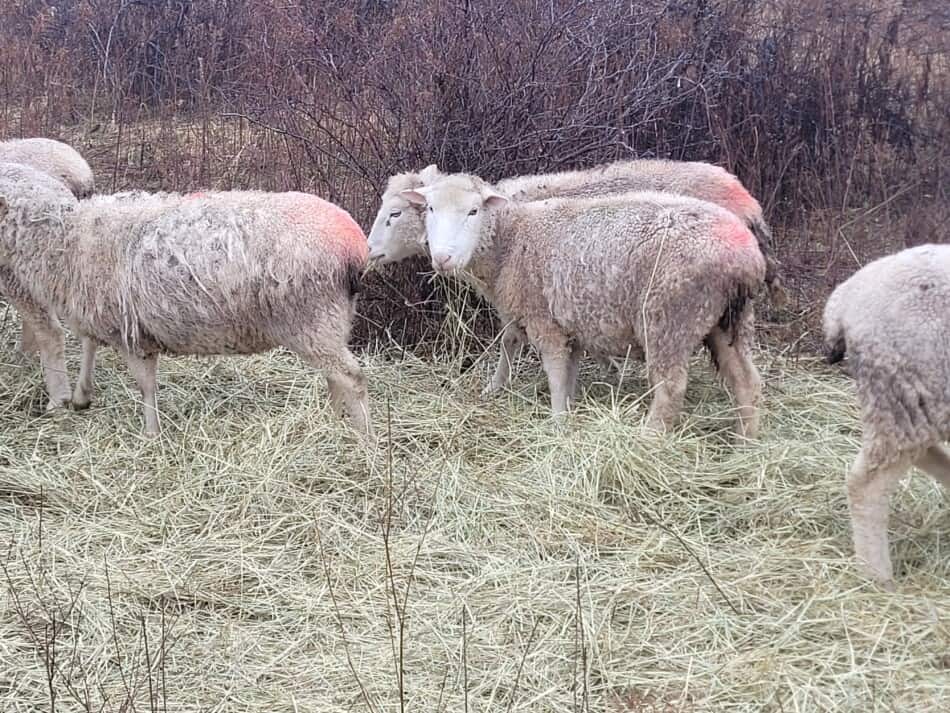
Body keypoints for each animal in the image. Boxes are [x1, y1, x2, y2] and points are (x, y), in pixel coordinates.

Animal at [0, 164, 374, 436]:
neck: (66, 237)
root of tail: (354, 245)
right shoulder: (105, 314)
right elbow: (89, 344)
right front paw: (81, 396)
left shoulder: (131, 333)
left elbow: (145, 386)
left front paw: (151, 434)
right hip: (330, 322)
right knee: (334, 377)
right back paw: (333, 423)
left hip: (313, 320)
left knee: (352, 378)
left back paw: (365, 442)